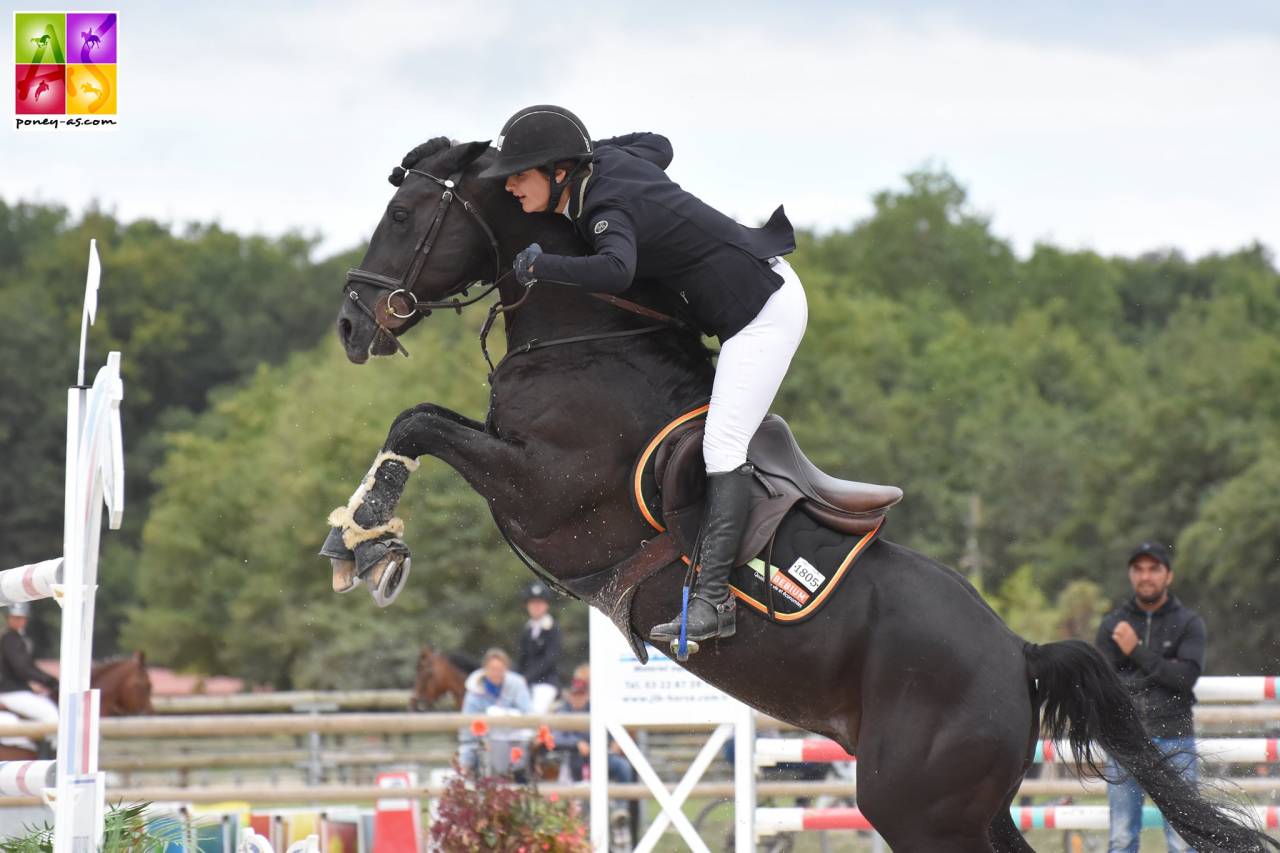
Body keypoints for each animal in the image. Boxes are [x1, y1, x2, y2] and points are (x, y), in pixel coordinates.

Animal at [325, 137, 1277, 852]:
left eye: (404, 216)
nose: (351, 323)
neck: (588, 334)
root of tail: (1021, 652)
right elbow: (420, 419)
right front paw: (366, 540)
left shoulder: (545, 492)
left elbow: (418, 422)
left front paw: (362, 540)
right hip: (964, 805)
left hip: (916, 807)